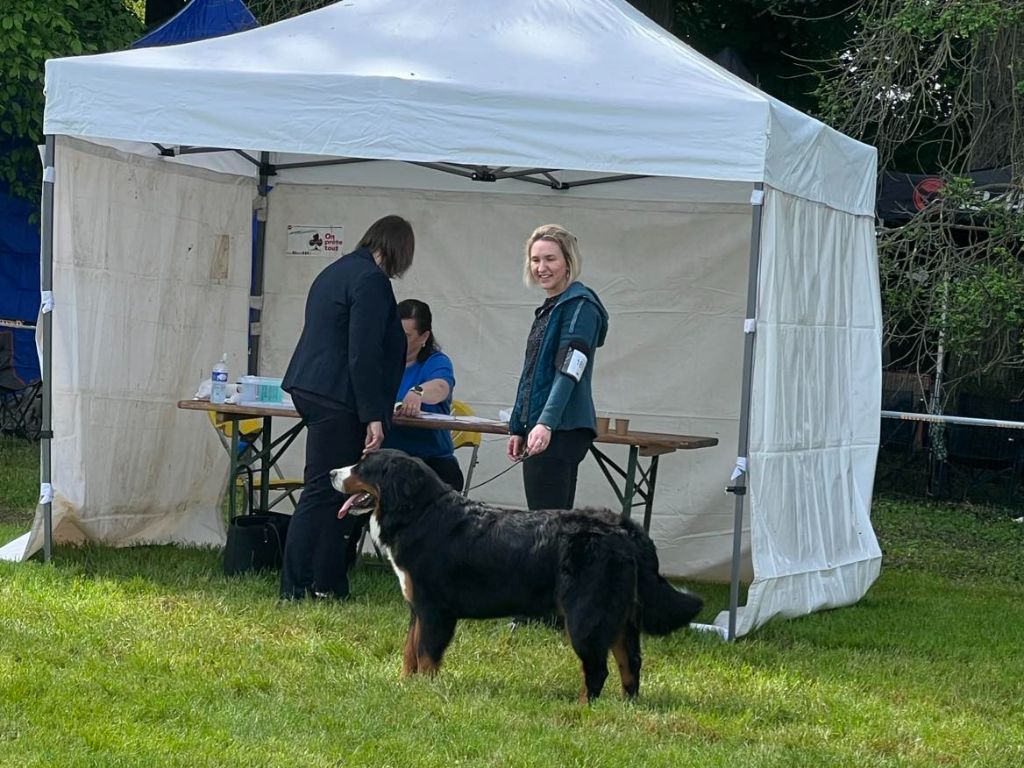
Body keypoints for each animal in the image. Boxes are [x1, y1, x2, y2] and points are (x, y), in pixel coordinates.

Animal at [331, 450, 700, 704]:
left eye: (362, 466)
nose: (333, 471)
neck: (420, 514)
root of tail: (623, 529)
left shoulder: (435, 608)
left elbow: (425, 655)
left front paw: (423, 691)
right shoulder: (417, 607)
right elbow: (410, 651)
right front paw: (404, 686)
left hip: (586, 615)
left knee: (598, 669)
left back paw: (583, 708)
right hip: (620, 616)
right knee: (630, 663)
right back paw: (625, 706)